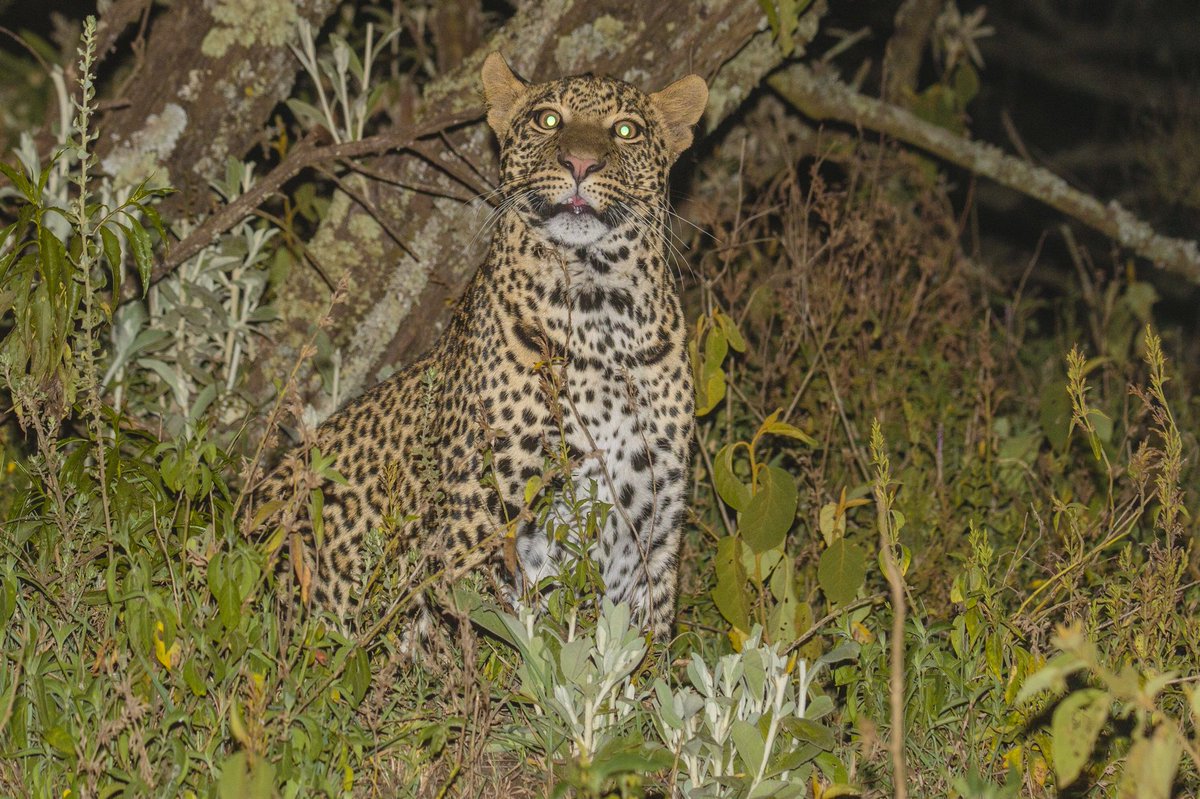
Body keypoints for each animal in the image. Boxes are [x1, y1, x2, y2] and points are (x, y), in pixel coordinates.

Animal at [254, 52, 708, 640]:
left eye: (625, 130)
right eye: (547, 120)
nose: (580, 163)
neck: (601, 309)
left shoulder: (651, 528)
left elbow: (642, 649)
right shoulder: (477, 521)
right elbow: (487, 639)